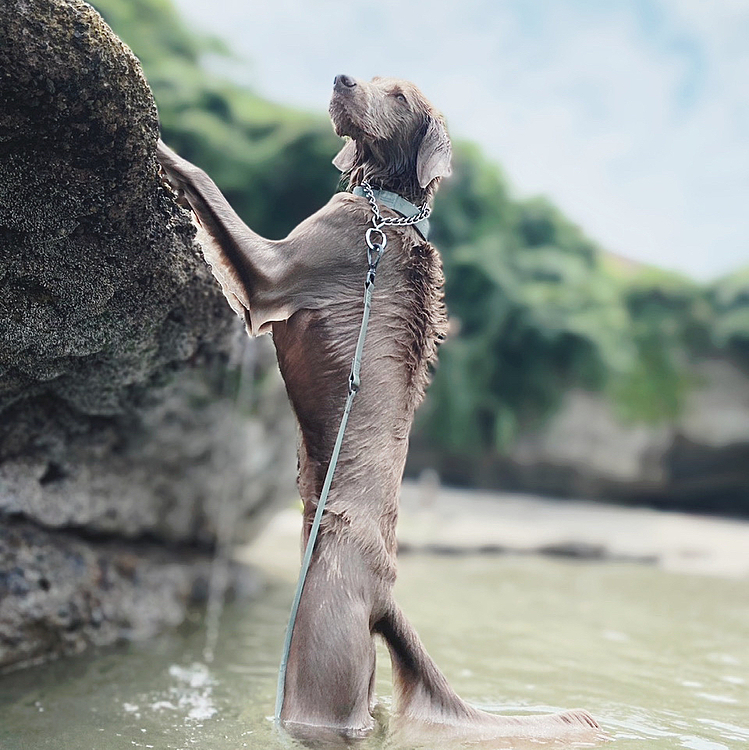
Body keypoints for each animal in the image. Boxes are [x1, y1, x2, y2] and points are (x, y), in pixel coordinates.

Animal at [155, 73, 600, 744]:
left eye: (398, 96)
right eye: (373, 80)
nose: (342, 78)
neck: (382, 211)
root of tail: (385, 592)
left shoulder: (274, 271)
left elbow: (208, 185)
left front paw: (162, 145)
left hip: (317, 645)